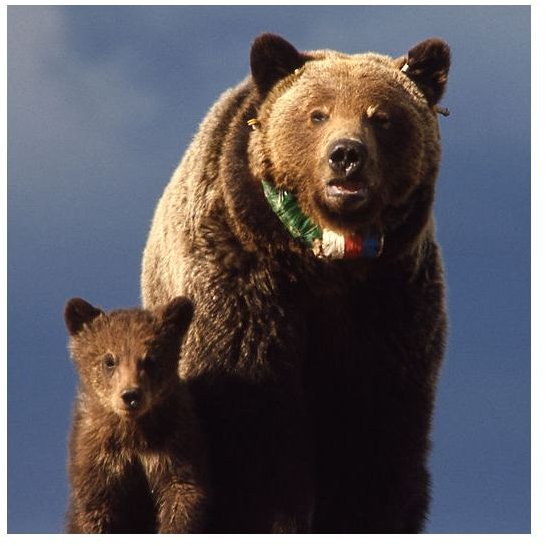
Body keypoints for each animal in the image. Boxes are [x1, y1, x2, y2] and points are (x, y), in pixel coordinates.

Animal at [142, 34, 448, 532]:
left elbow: (378, 433)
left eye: (381, 116)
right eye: (317, 113)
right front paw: (266, 512)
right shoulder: (243, 287)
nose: (346, 155)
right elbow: (255, 425)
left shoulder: (389, 305)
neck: (322, 263)